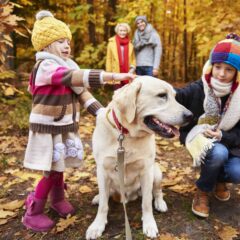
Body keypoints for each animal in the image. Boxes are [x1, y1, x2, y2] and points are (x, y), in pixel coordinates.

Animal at [85, 76, 192, 239]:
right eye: (162, 95)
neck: (127, 135)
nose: (190, 115)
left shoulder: (146, 171)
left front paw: (149, 224)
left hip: (156, 172)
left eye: (175, 96)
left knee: (157, 191)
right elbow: (104, 204)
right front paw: (97, 225)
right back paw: (98, 197)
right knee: (105, 194)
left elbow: (146, 203)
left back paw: (160, 203)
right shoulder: (102, 170)